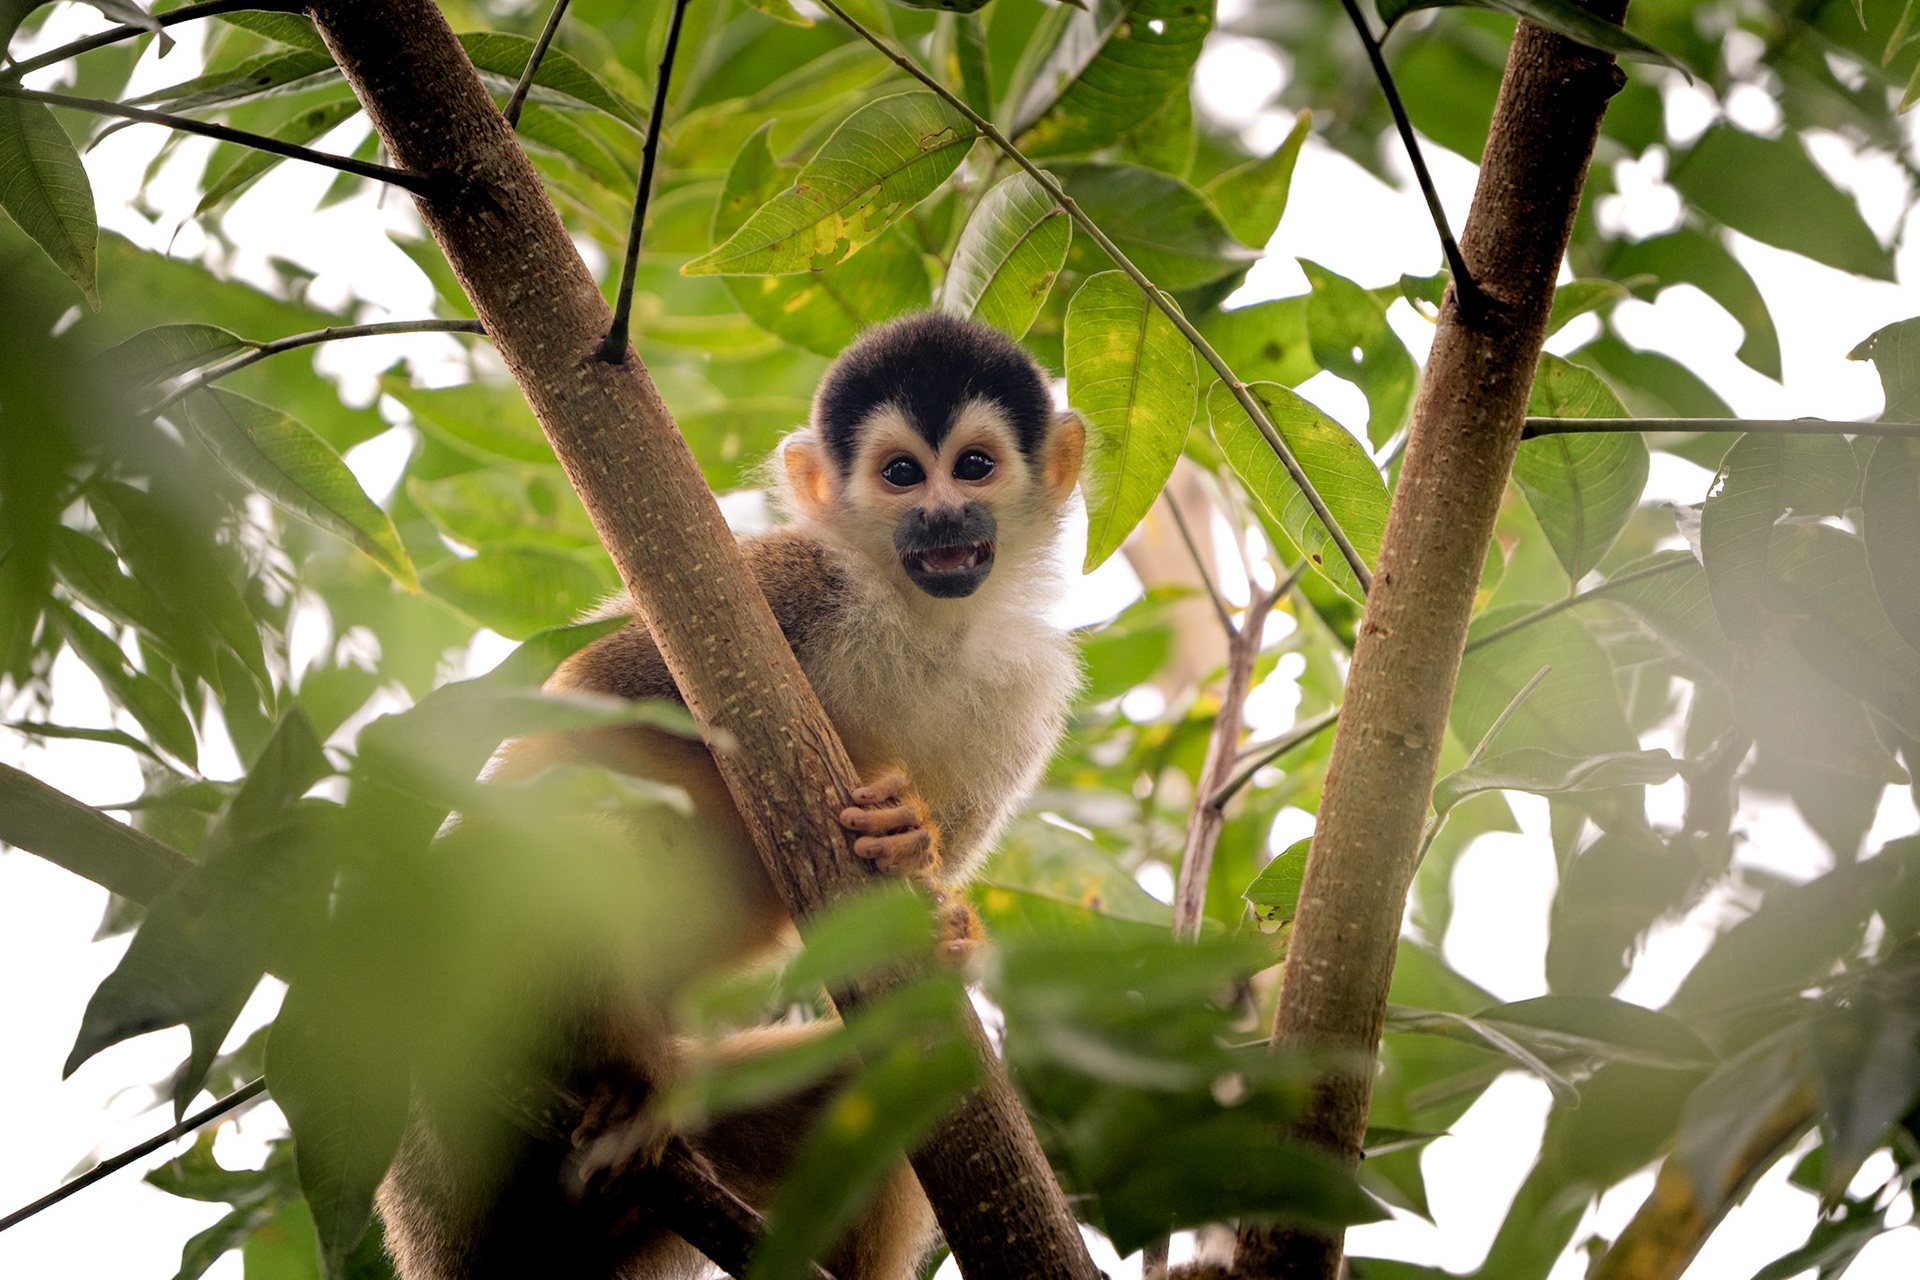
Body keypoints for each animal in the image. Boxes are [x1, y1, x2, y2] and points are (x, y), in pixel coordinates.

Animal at [376, 313, 1088, 1280]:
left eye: (973, 466)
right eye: (903, 474)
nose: (942, 515)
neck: (921, 619)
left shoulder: (1026, 688)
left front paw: (928, 874)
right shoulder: (787, 583)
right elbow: (592, 700)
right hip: (450, 1099)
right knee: (570, 845)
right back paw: (631, 1081)